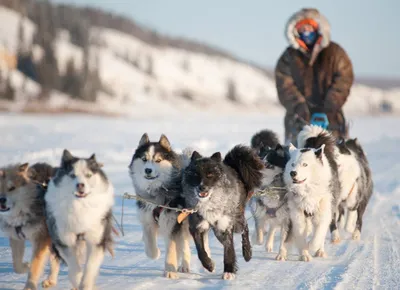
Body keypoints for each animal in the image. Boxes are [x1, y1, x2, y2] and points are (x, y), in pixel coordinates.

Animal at [45, 151, 114, 288]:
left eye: (88, 175)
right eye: (72, 175)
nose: (80, 185)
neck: (80, 205)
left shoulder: (96, 238)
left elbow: (90, 267)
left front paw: (86, 285)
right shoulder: (64, 240)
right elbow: (74, 268)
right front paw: (78, 281)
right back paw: (51, 280)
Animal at [127, 134, 191, 278]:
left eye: (158, 160)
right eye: (144, 159)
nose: (148, 170)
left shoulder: (172, 223)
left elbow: (172, 247)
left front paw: (170, 271)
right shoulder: (147, 220)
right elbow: (149, 243)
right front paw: (155, 254)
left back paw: (185, 265)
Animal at [183, 146, 264, 280]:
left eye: (210, 174)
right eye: (195, 174)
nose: (201, 187)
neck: (209, 203)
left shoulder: (225, 227)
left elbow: (228, 251)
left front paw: (229, 271)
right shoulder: (196, 228)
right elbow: (201, 251)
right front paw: (209, 264)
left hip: (236, 221)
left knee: (245, 228)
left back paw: (247, 253)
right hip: (217, 231)